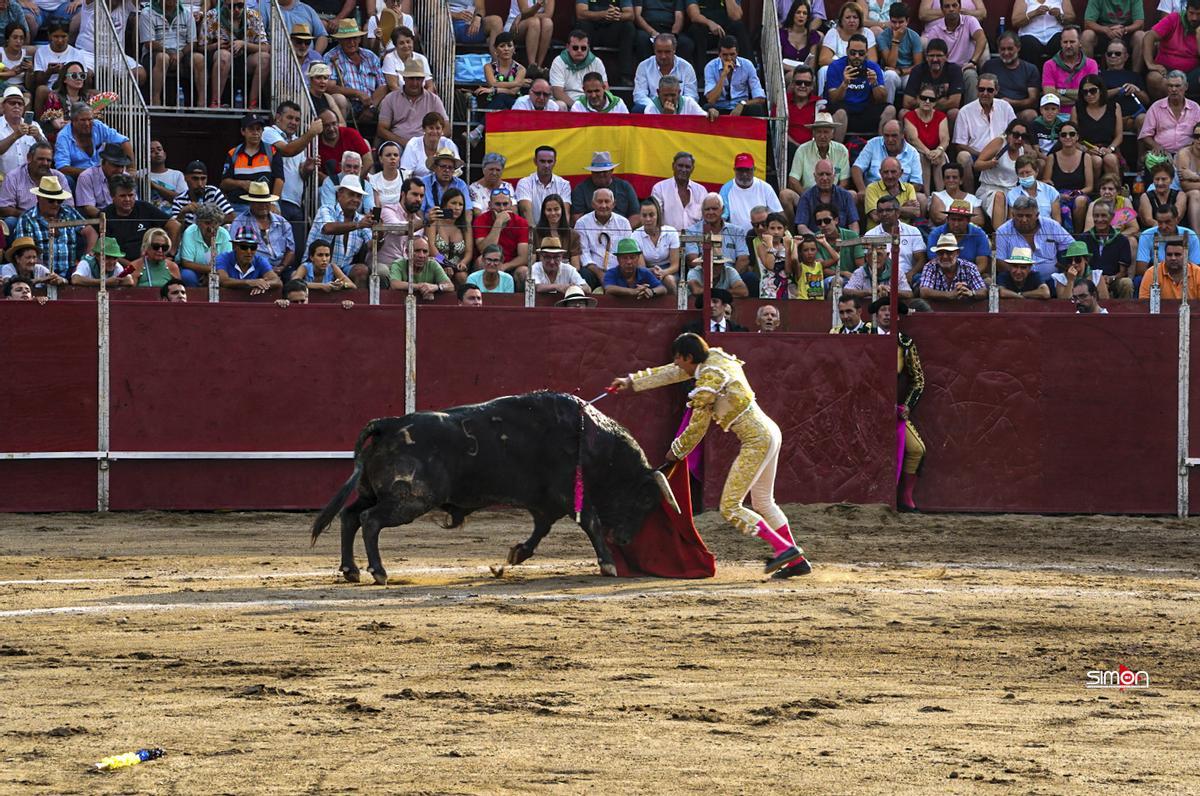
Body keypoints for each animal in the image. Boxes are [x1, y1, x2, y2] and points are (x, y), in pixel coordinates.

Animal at [312, 391, 676, 585]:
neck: (592, 442)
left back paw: (351, 570)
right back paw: (379, 572)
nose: (625, 540)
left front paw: (516, 554)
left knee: (350, 516)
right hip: (410, 499)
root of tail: (388, 424)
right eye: (645, 499)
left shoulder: (545, 503)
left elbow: (540, 530)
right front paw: (608, 563)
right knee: (370, 520)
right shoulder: (568, 496)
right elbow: (591, 523)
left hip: (376, 493)